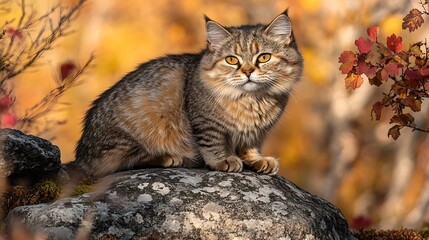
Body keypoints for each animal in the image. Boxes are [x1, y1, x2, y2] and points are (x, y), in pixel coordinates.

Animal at [72, 10, 300, 177]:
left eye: (264, 57)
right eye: (232, 60)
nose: (248, 72)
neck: (253, 101)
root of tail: (81, 157)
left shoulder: (256, 133)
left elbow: (249, 147)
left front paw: (256, 160)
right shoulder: (205, 123)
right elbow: (212, 143)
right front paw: (222, 160)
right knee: (123, 163)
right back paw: (169, 158)